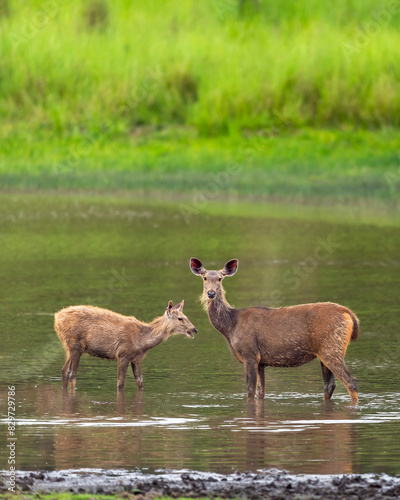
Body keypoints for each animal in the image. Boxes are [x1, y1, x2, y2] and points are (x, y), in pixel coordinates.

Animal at [54, 300, 198, 390]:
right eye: (180, 318)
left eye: (186, 316)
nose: (194, 329)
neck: (142, 342)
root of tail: (56, 317)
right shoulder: (122, 354)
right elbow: (120, 384)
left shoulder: (137, 359)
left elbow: (140, 382)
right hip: (75, 345)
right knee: (71, 373)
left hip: (68, 346)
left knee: (64, 370)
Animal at [190, 258, 360, 402]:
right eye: (204, 278)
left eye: (220, 278)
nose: (211, 293)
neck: (230, 327)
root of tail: (348, 314)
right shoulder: (260, 362)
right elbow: (261, 392)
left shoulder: (249, 354)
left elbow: (250, 392)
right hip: (324, 353)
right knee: (329, 385)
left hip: (332, 347)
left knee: (350, 381)